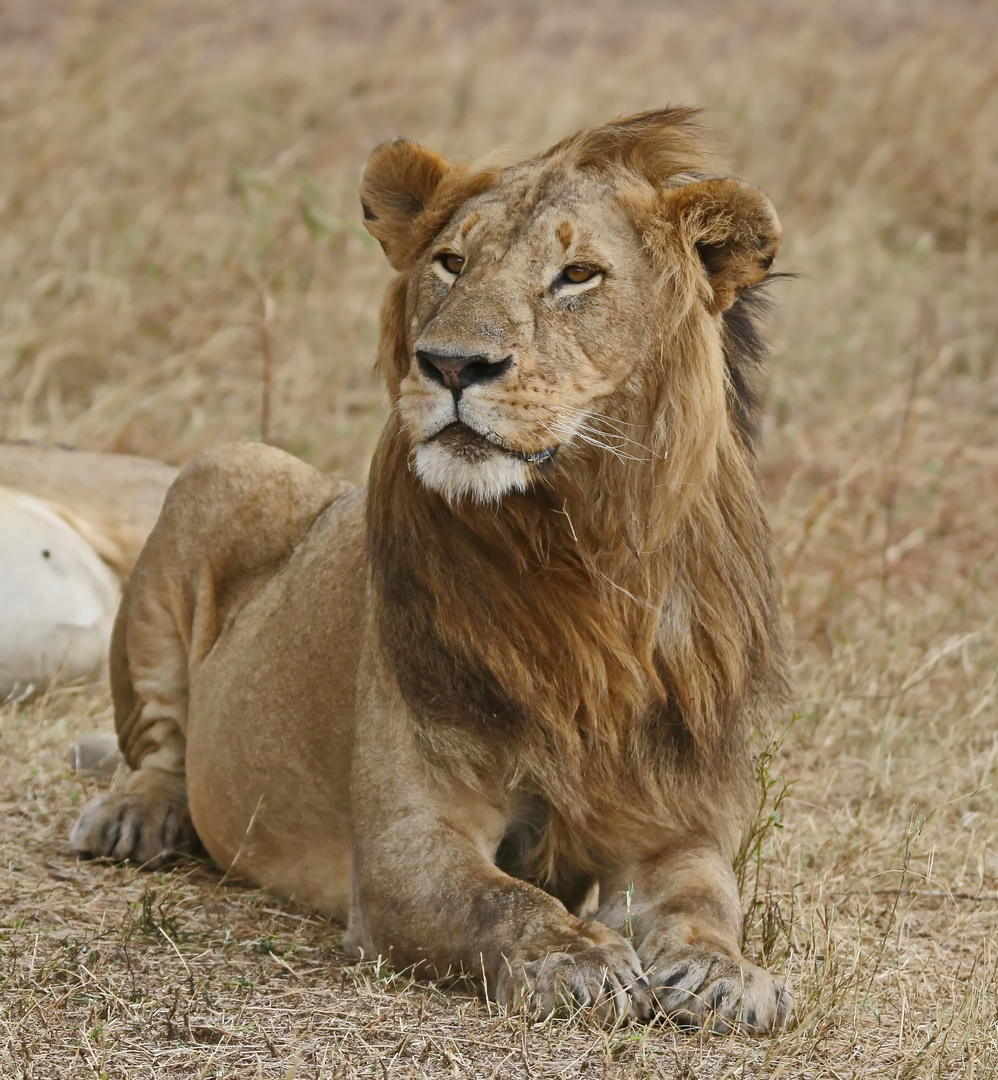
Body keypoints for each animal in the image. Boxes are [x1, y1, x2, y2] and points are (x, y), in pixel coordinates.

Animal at [70, 107, 790, 1028]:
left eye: (577, 275)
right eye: (452, 261)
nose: (451, 364)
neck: (576, 553)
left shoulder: (671, 821)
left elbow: (709, 897)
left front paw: (721, 973)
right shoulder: (405, 846)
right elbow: (504, 901)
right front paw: (580, 959)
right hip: (223, 469)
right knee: (162, 745)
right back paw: (135, 819)